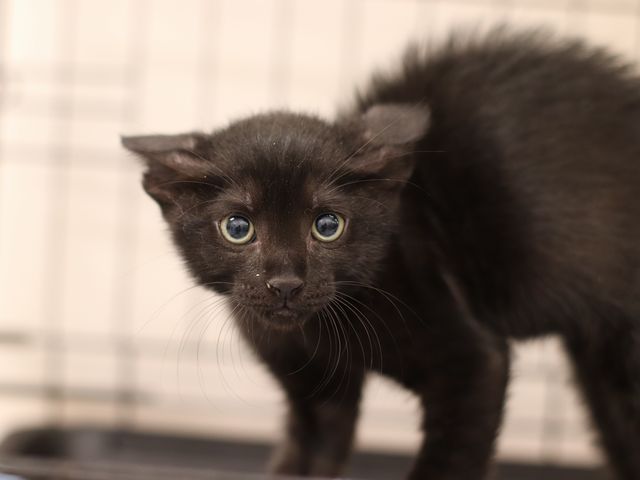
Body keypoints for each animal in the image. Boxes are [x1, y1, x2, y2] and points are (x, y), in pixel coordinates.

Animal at [122, 29, 640, 480]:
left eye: (327, 226)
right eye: (237, 228)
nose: (285, 282)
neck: (318, 334)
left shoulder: (473, 363)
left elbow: (448, 463)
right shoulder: (317, 396)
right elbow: (307, 458)